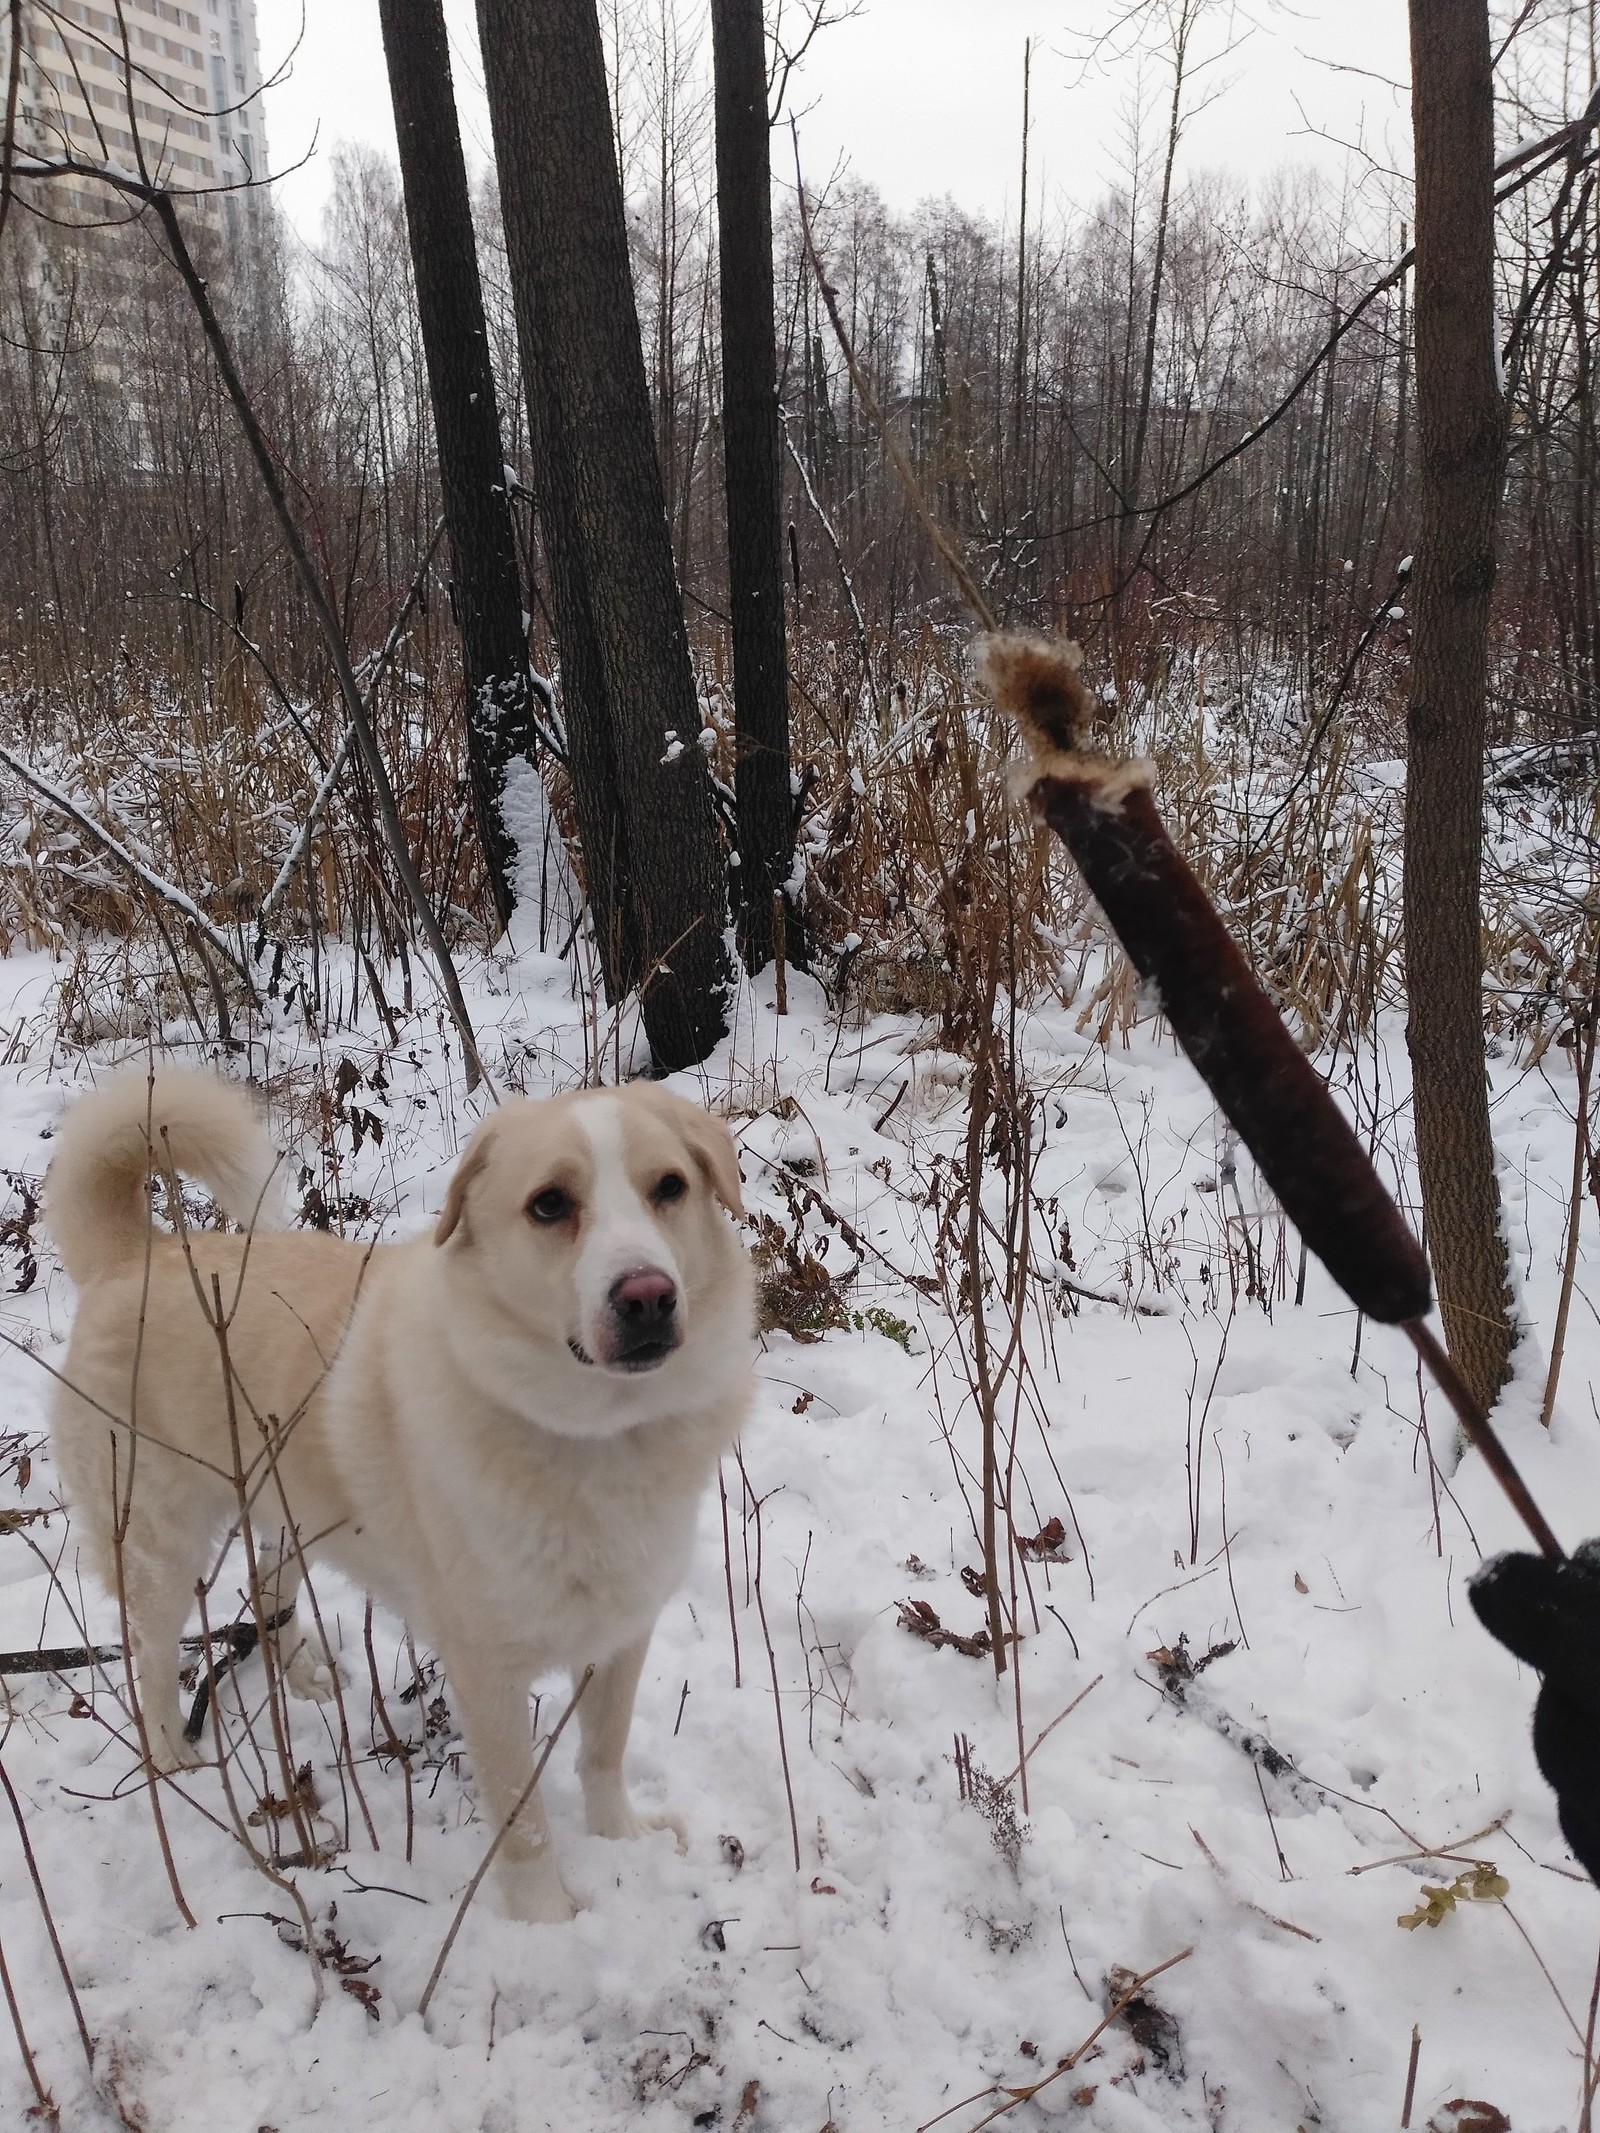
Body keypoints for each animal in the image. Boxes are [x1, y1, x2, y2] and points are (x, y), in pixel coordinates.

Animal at [43, 1075, 759, 1928]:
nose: (648, 1297)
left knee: (264, 1587)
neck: (599, 1434)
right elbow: (524, 1821)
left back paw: (303, 1675)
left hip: (289, 1509)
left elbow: (602, 1753)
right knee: (147, 1654)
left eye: (669, 1188)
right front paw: (545, 1919)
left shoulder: (622, 1634)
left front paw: (622, 1840)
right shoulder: (486, 1673)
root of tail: (134, 1254)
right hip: (160, 1545)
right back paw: (170, 1753)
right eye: (550, 1204)